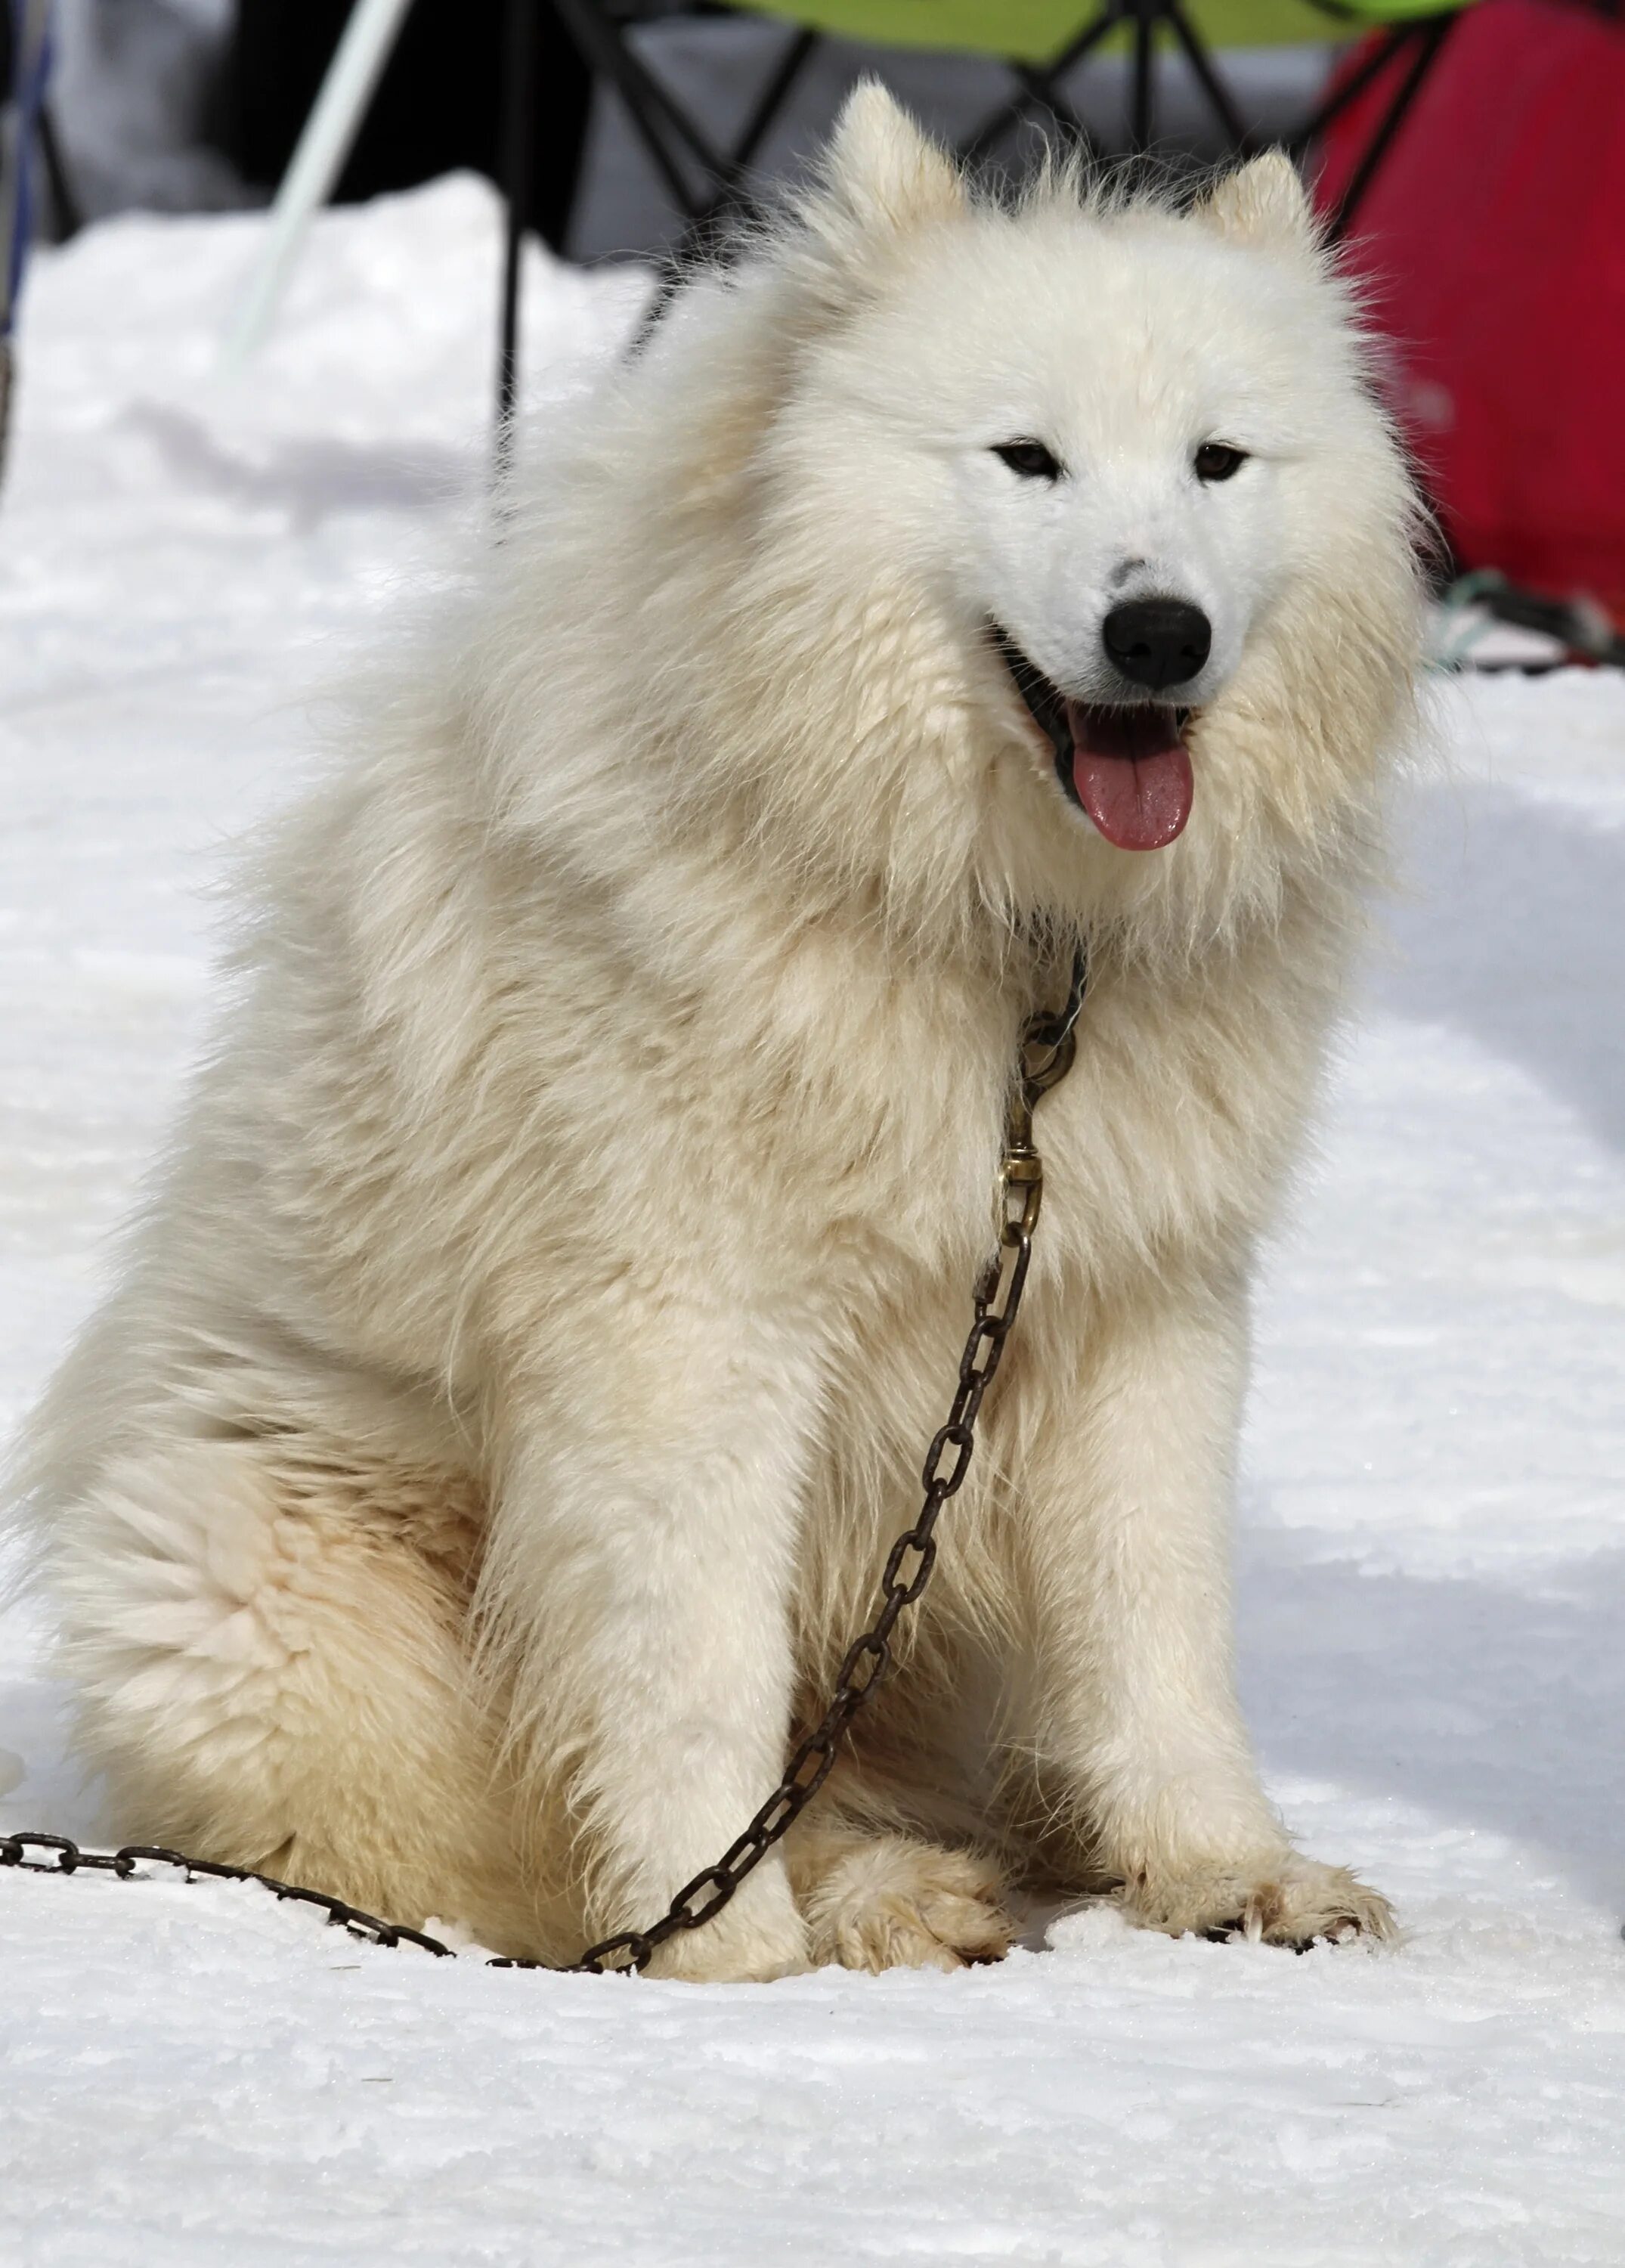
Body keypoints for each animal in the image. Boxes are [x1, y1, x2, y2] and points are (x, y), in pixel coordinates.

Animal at [3, 93, 1423, 1969]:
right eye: (1024, 459)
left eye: (1218, 463)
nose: (1156, 633)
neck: (1005, 957)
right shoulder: (686, 1342)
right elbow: (692, 1685)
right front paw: (733, 1972)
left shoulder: (1131, 1312)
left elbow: (1161, 1641)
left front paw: (1227, 1873)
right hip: (261, 1579)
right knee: (519, 1851)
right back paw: (845, 1908)